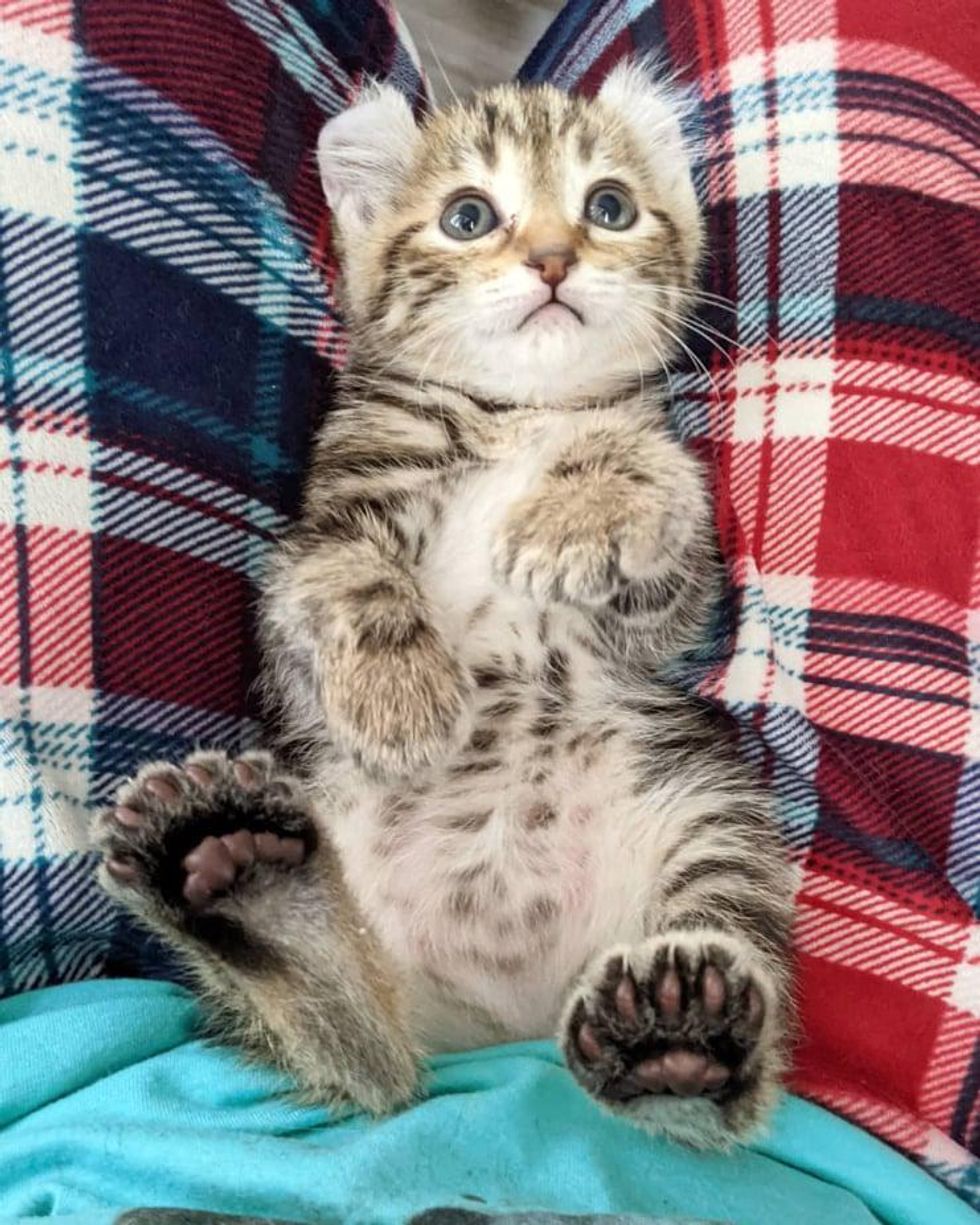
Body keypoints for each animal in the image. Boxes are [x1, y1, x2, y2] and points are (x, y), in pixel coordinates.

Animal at [95, 67, 793, 1151]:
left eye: (608, 207)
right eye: (469, 217)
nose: (552, 258)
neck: (512, 414)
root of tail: (501, 1027)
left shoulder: (658, 620)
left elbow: (661, 489)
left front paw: (578, 507)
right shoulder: (306, 553)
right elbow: (347, 574)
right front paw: (401, 694)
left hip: (704, 804)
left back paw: (679, 1035)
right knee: (369, 1062)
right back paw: (244, 883)